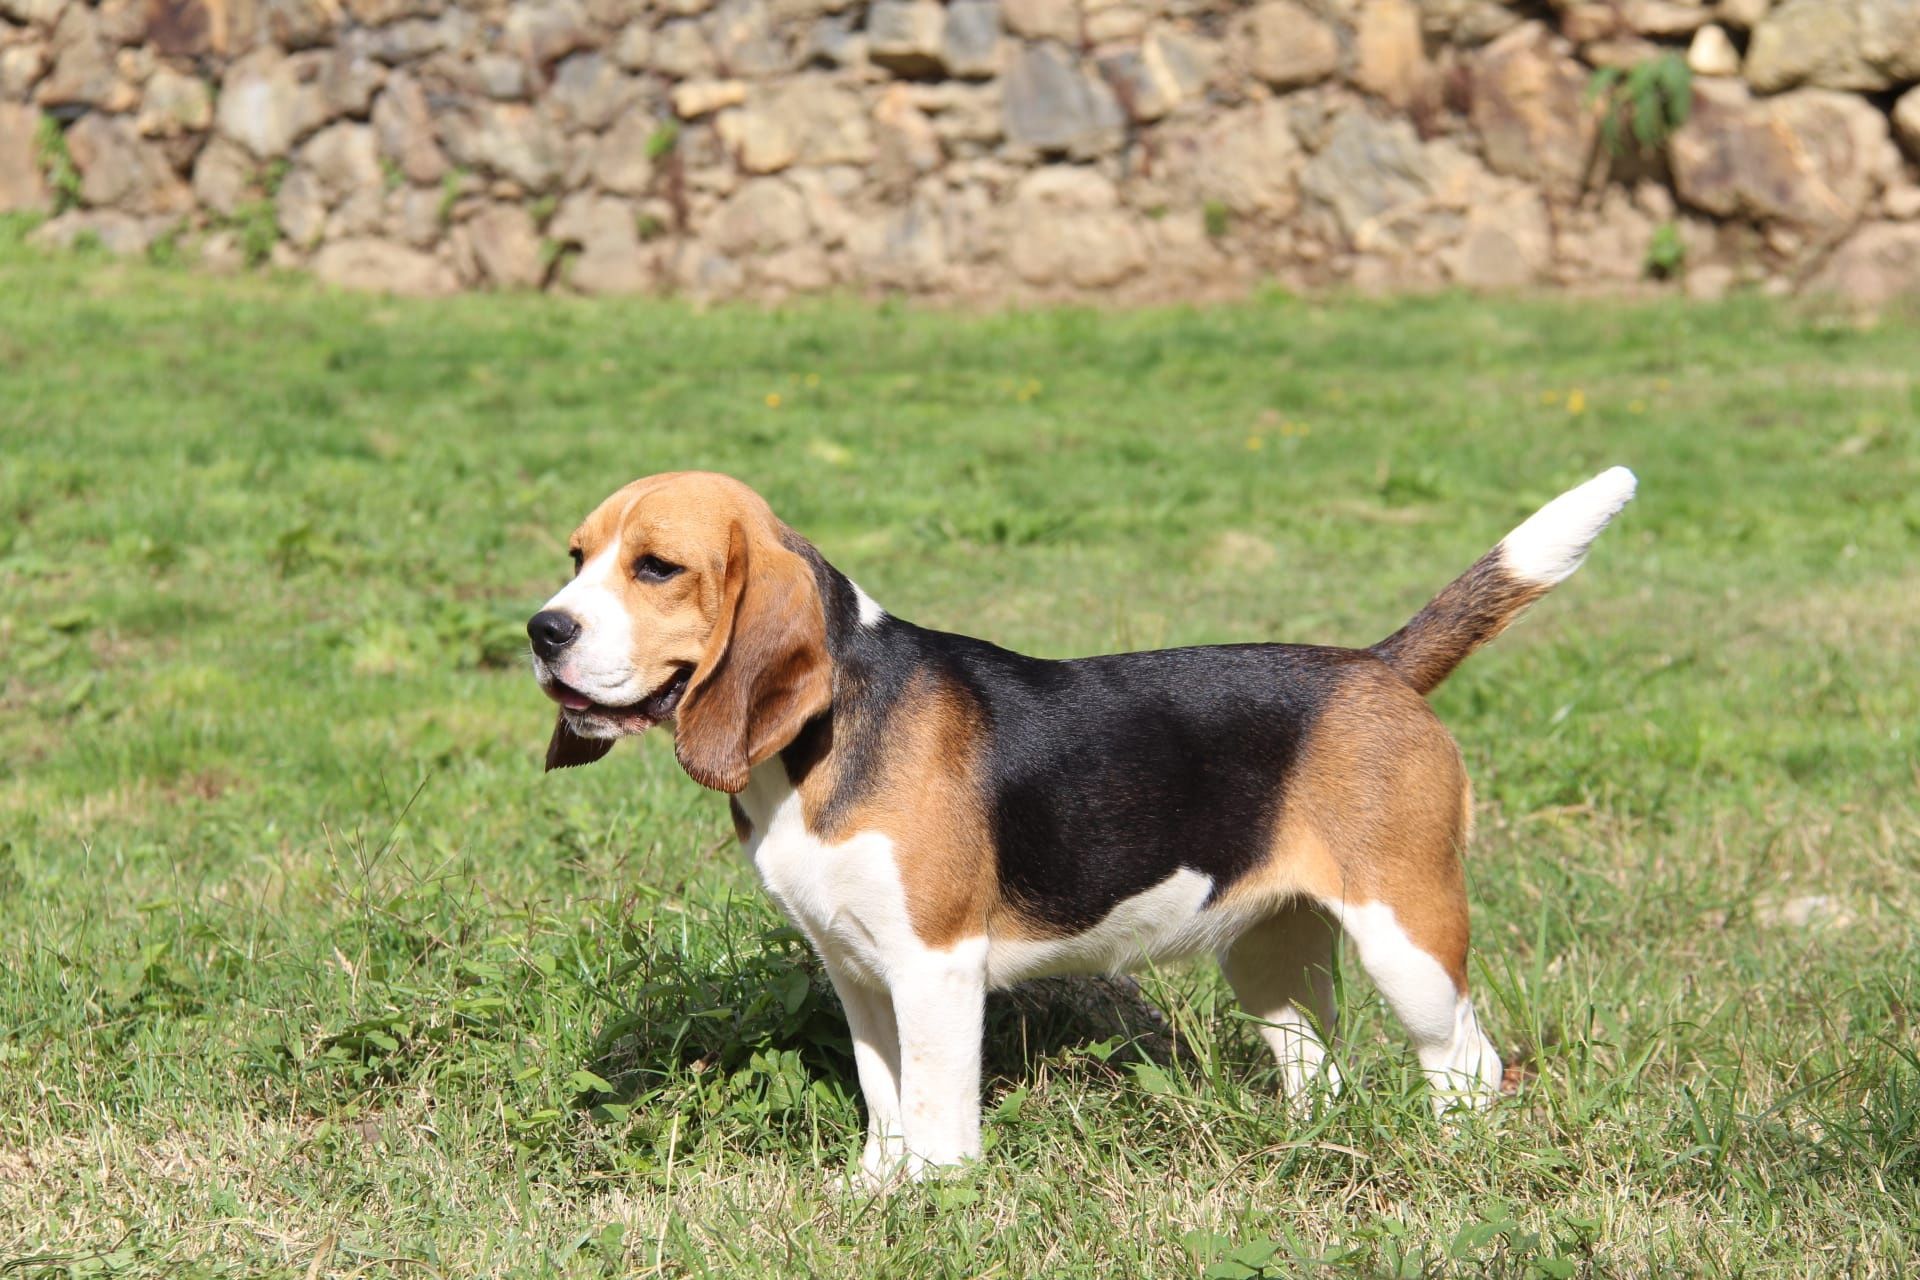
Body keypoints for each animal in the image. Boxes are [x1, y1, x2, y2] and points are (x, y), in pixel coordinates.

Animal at [526, 466, 1635, 1189]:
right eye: (576, 556)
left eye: (657, 567)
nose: (542, 630)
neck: (822, 735)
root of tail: (1377, 664)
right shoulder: (856, 969)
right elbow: (886, 1097)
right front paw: (875, 1190)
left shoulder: (937, 963)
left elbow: (935, 1103)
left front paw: (935, 1195)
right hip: (1268, 954)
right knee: (1315, 1064)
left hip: (1408, 936)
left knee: (1468, 1064)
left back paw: (1457, 1156)